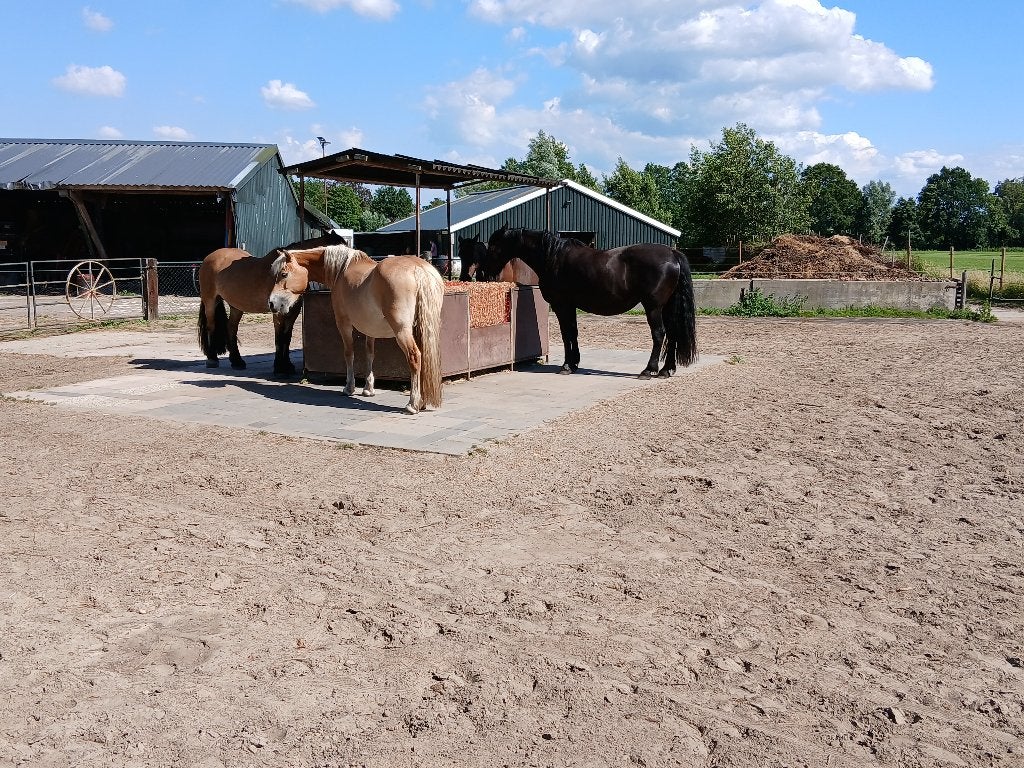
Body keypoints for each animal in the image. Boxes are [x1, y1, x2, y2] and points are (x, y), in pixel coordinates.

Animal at [196, 232, 343, 375]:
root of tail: (209, 257)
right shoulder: (277, 311)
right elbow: (279, 337)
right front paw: (279, 367)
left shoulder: (293, 311)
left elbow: (287, 337)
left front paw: (287, 365)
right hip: (210, 301)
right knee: (211, 326)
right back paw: (212, 359)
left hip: (236, 306)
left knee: (231, 328)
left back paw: (237, 361)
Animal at [268, 244, 444, 415]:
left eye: (284, 274)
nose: (272, 303)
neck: (341, 270)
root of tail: (418, 268)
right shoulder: (370, 329)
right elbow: (369, 353)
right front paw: (368, 389)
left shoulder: (343, 323)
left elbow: (349, 353)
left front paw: (349, 387)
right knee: (425, 356)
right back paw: (422, 402)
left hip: (402, 331)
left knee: (414, 357)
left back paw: (412, 404)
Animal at [481, 226, 698, 378]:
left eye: (493, 245)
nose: (485, 274)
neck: (552, 257)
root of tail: (672, 254)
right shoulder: (571, 306)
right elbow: (573, 333)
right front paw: (574, 363)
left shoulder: (562, 305)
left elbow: (566, 334)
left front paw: (567, 365)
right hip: (667, 307)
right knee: (673, 334)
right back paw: (666, 370)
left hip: (653, 307)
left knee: (659, 334)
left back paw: (649, 370)